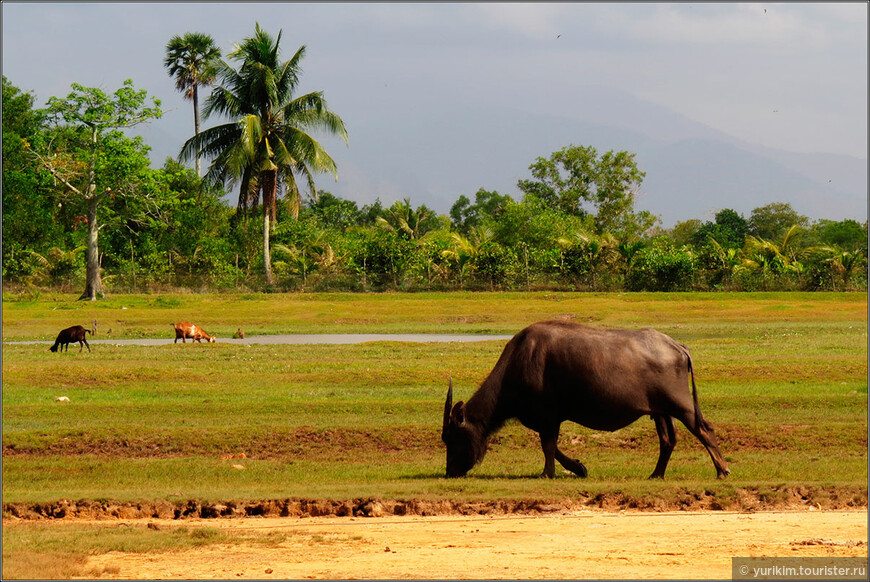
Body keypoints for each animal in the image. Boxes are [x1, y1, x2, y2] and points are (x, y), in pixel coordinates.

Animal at [440, 322, 732, 482]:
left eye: (452, 437)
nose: (449, 471)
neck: (520, 363)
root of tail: (677, 346)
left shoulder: (548, 416)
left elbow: (548, 446)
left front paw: (548, 473)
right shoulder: (549, 419)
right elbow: (553, 447)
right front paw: (579, 467)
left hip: (681, 406)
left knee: (704, 429)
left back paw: (722, 470)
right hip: (660, 411)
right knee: (668, 440)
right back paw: (656, 474)